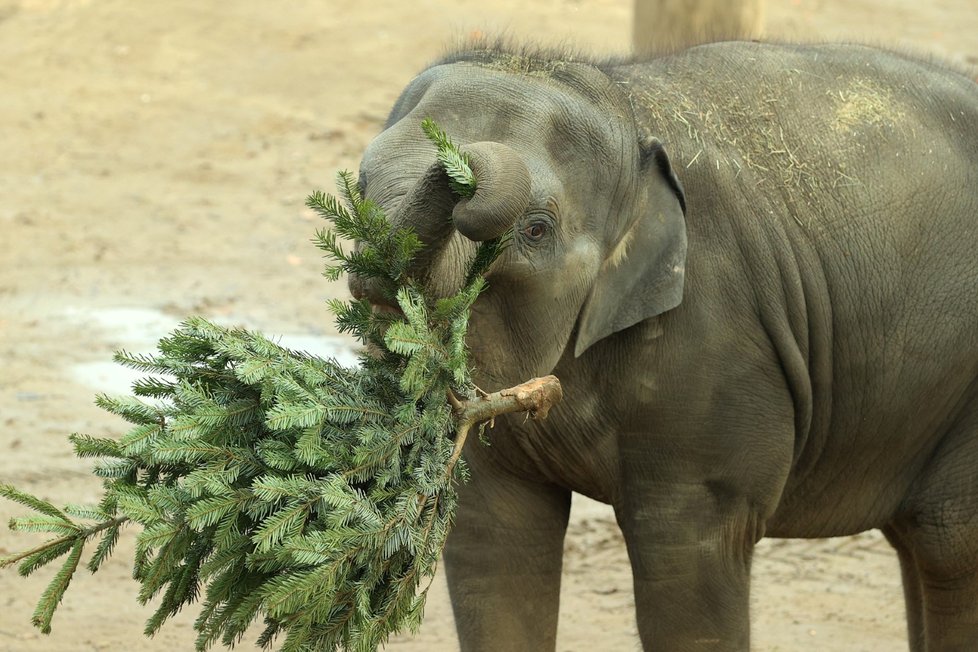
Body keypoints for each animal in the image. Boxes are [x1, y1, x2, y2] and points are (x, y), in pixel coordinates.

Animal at [348, 42, 976, 652]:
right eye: (359, 187)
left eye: (536, 230)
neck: (625, 109)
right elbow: (495, 541)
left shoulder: (715, 345)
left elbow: (685, 570)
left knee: (949, 545)